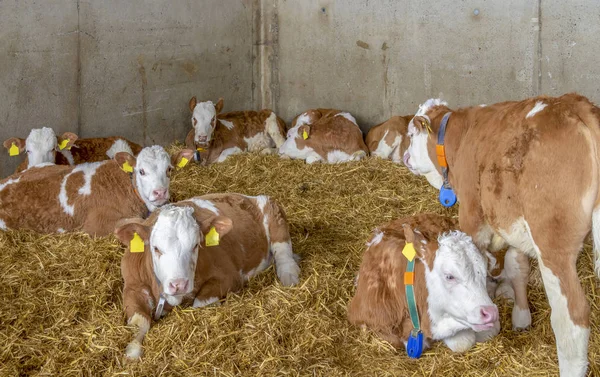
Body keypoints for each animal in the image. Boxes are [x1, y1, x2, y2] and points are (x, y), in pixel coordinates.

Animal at [113, 194, 300, 358]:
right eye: (156, 248)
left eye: (196, 245)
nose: (179, 284)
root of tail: (249, 197)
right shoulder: (132, 287)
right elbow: (139, 321)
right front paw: (132, 351)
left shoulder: (229, 276)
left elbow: (199, 305)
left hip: (274, 213)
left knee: (283, 252)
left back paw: (290, 275)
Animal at [400, 92, 600, 376]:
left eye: (411, 134)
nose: (405, 156)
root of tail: (575, 104)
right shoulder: (511, 222)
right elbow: (517, 266)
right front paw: (521, 316)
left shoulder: (472, 216)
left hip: (553, 246)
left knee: (572, 318)